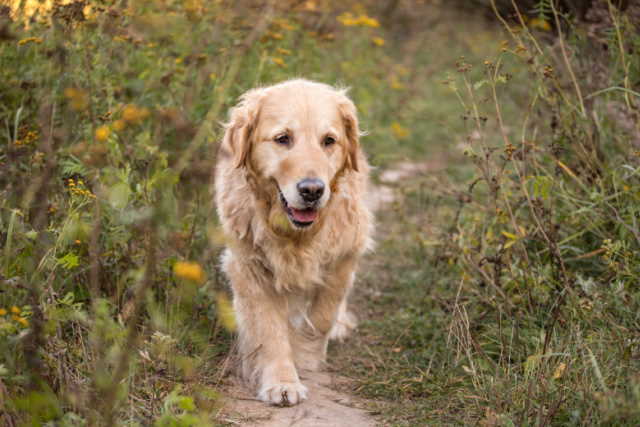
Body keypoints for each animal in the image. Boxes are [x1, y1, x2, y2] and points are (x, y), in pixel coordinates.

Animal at [216, 78, 376, 406]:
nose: (312, 190)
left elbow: (322, 315)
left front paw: (305, 356)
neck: (295, 235)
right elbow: (269, 329)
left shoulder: (343, 256)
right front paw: (281, 381)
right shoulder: (249, 266)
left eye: (329, 140)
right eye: (282, 138)